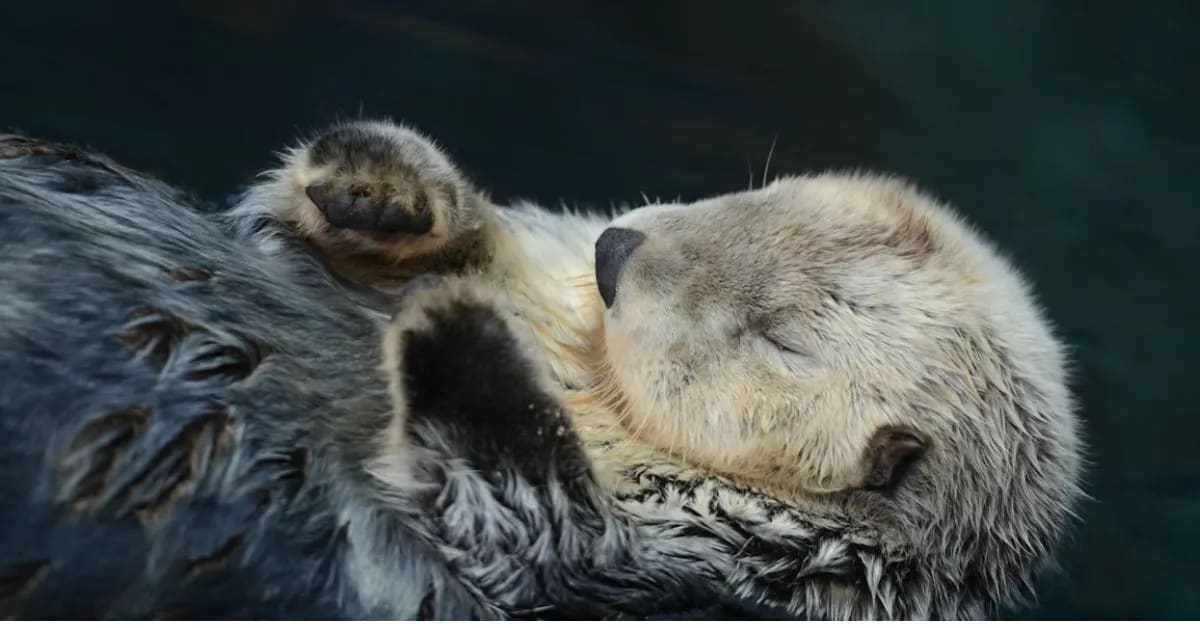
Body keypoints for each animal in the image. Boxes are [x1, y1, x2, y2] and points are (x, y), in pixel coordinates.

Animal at [0, 123, 1081, 619]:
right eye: (756, 194)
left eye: (781, 338)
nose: (616, 250)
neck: (587, 375)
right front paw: (378, 184)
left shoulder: (664, 571)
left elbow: (507, 521)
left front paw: (460, 338)